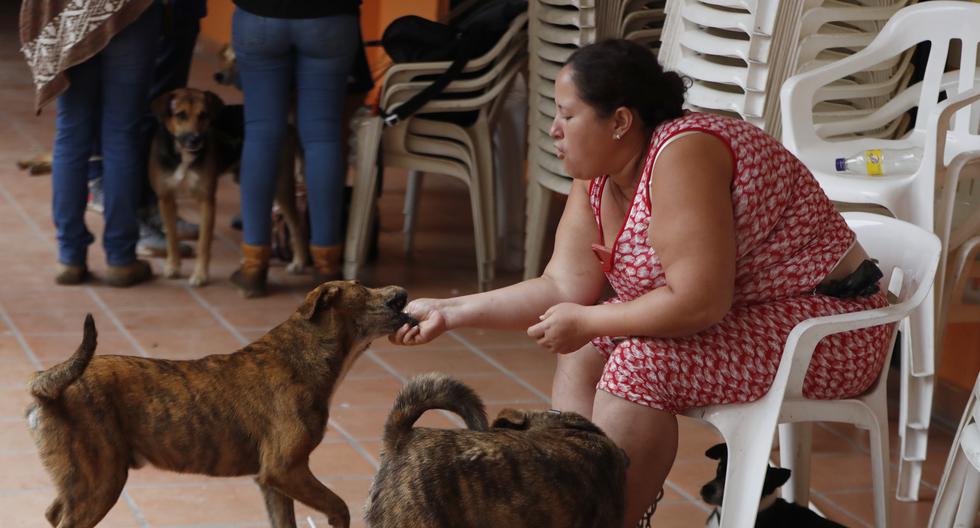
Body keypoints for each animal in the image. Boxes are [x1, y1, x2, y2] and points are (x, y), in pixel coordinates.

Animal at [25, 280, 418, 528]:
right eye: (362, 287)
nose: (403, 292)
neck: (304, 350)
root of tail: (46, 385)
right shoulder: (285, 469)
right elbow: (340, 506)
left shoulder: (272, 482)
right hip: (100, 482)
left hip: (81, 480)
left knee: (51, 513)